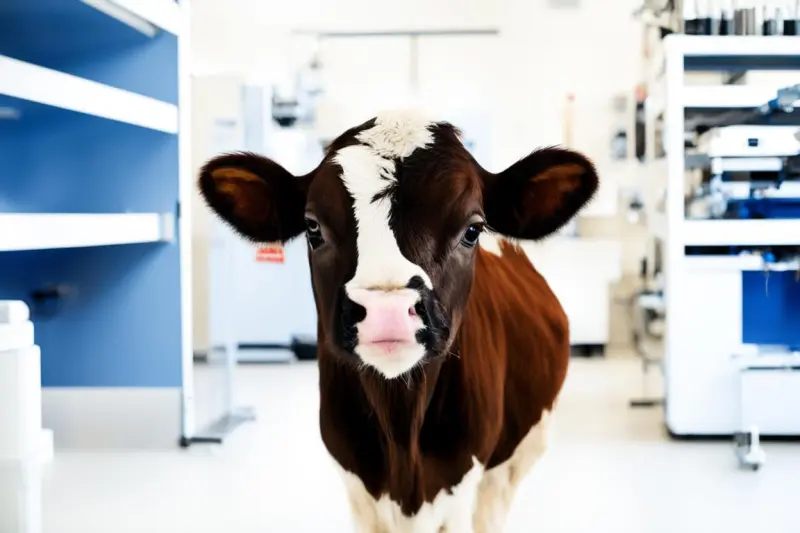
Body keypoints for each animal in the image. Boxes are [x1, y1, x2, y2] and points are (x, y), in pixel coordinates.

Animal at [197, 109, 599, 533]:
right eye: (313, 227)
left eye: (472, 229)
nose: (386, 313)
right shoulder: (357, 488)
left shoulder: (462, 486)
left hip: (514, 462)